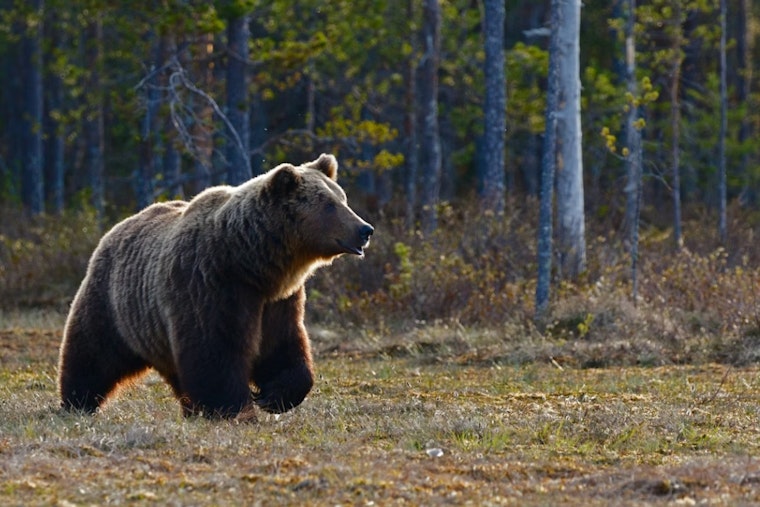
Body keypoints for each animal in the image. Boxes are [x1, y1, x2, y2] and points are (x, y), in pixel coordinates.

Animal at [57, 153, 373, 419]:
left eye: (343, 198)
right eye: (329, 205)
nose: (365, 229)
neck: (252, 263)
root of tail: (117, 227)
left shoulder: (278, 301)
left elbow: (283, 346)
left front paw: (273, 396)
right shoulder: (211, 284)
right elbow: (215, 350)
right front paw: (234, 408)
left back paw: (189, 408)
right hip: (114, 302)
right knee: (92, 352)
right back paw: (77, 402)